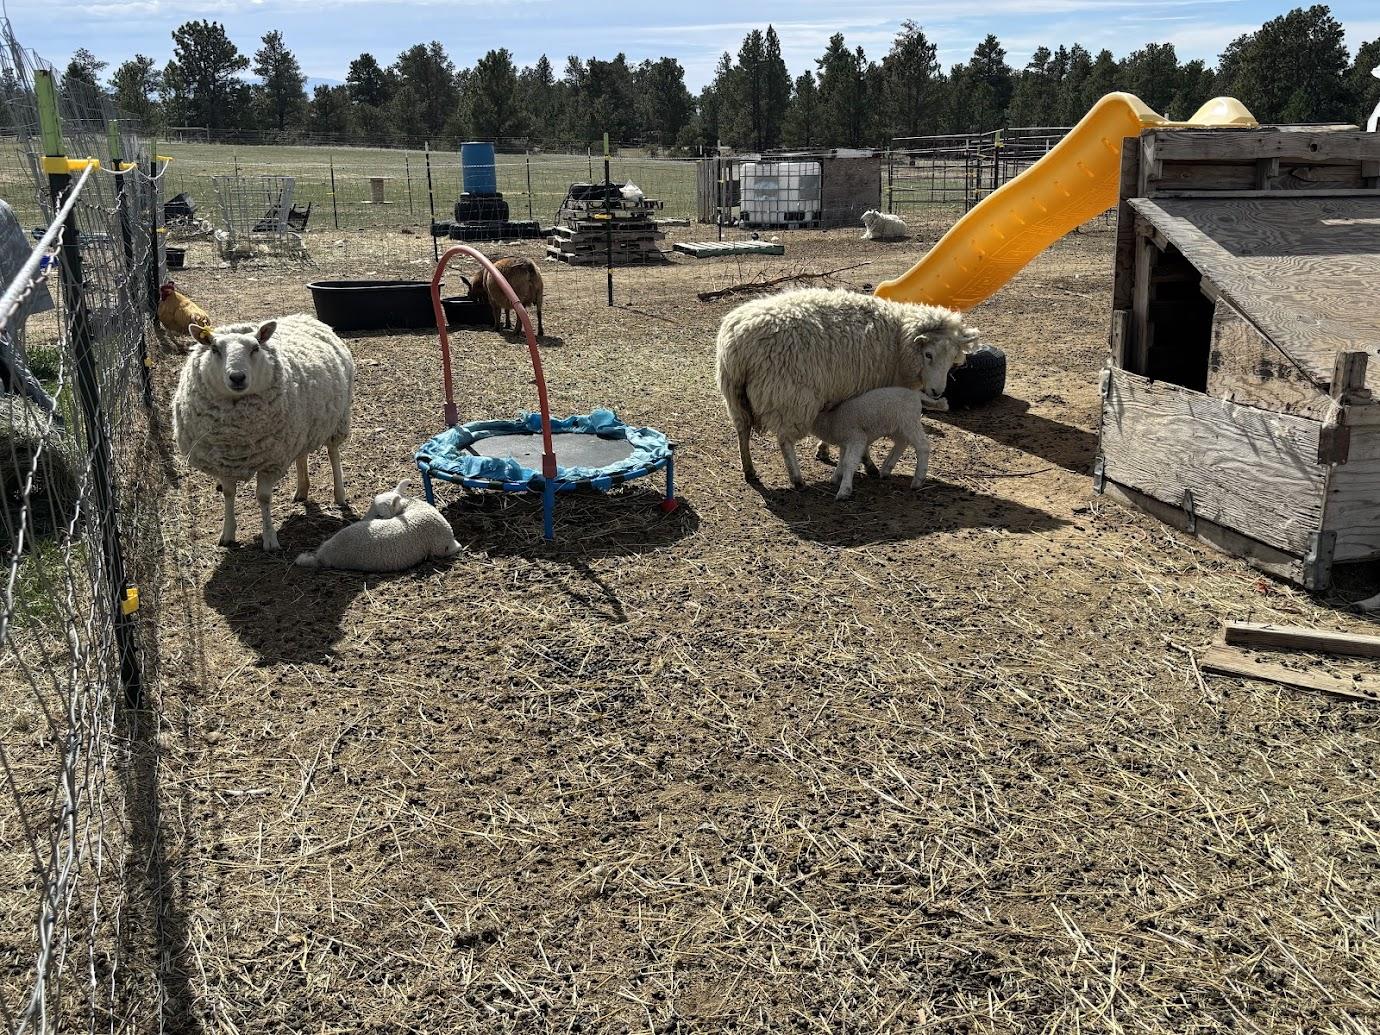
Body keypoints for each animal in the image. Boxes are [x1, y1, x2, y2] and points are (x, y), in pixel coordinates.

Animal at [172, 314, 354, 551]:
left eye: (256, 347)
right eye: (214, 349)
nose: (237, 377)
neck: (236, 434)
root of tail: (303, 316)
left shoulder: (271, 461)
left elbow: (264, 497)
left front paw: (270, 539)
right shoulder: (223, 462)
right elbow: (229, 494)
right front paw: (227, 534)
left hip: (338, 419)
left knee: (333, 453)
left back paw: (339, 494)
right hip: (300, 428)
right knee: (301, 455)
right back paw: (302, 490)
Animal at [715, 288, 978, 487]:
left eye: (953, 359)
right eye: (928, 354)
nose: (937, 392)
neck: (898, 341)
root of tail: (737, 344)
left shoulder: (845, 393)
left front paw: (824, 450)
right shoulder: (866, 392)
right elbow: (864, 438)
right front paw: (868, 464)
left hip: (735, 394)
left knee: (742, 430)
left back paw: (749, 470)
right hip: (790, 396)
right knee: (784, 439)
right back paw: (796, 478)